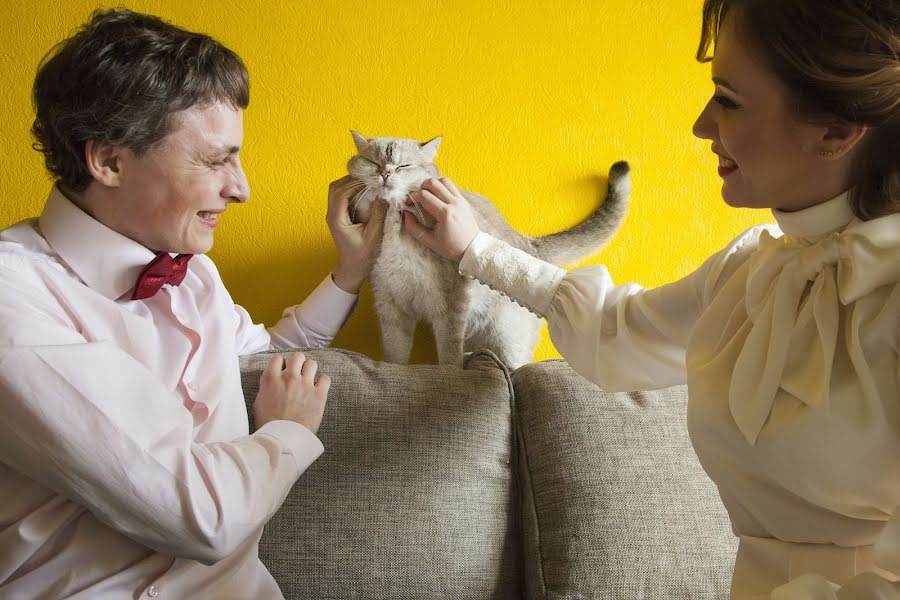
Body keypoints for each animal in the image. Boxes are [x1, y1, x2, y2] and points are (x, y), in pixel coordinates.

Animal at [342, 129, 628, 368]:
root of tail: (529, 244)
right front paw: (393, 370)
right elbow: (396, 354)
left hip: (507, 337)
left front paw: (449, 373)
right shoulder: (390, 304)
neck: (393, 221)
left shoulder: (451, 305)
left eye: (404, 166)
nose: (385, 174)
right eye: (373, 163)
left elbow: (449, 354)